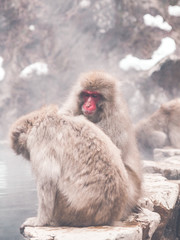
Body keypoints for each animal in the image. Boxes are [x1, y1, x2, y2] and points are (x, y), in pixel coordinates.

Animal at [9, 71, 142, 231]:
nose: (88, 104)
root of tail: (109, 217)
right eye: (86, 95)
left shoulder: (40, 138)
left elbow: (48, 180)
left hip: (74, 211)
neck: (42, 119)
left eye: (95, 96)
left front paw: (39, 221)